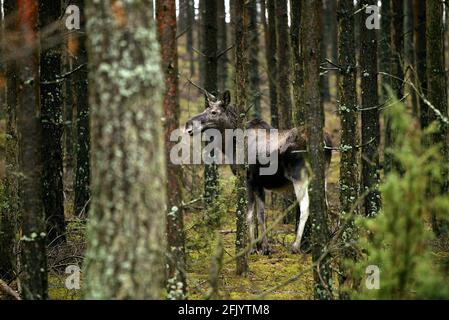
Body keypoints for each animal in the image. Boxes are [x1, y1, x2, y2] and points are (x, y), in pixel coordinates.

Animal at [183, 90, 332, 255]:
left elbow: (248, 214)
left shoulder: (248, 179)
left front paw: (252, 248)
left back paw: (295, 245)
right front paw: (265, 247)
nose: (188, 125)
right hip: (323, 175)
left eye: (214, 112)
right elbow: (261, 214)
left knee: (305, 207)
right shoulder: (259, 183)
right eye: (205, 109)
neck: (230, 146)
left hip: (299, 176)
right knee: (326, 204)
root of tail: (326, 142)